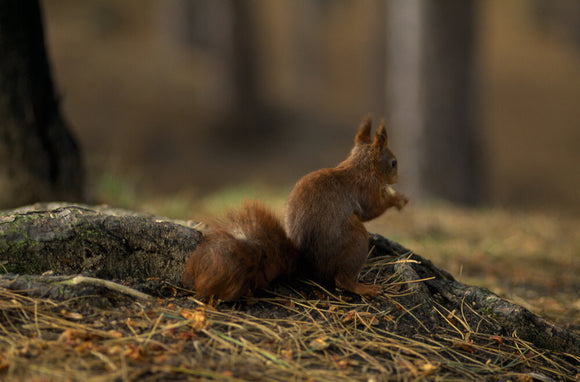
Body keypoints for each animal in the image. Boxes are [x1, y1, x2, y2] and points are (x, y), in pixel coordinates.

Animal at [181, 117, 408, 302]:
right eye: (394, 163)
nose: (397, 179)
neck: (362, 166)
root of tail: (305, 265)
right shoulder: (366, 189)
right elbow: (372, 211)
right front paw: (397, 199)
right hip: (357, 240)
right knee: (341, 280)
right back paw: (364, 288)